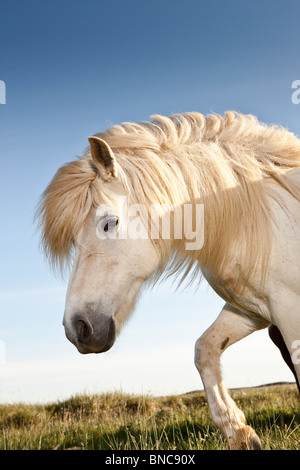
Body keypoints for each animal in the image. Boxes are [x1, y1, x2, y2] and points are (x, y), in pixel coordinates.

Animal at [37, 112, 300, 450]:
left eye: (108, 223)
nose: (77, 328)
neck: (264, 217)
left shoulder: (288, 313)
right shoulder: (253, 310)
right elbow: (204, 350)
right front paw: (240, 433)